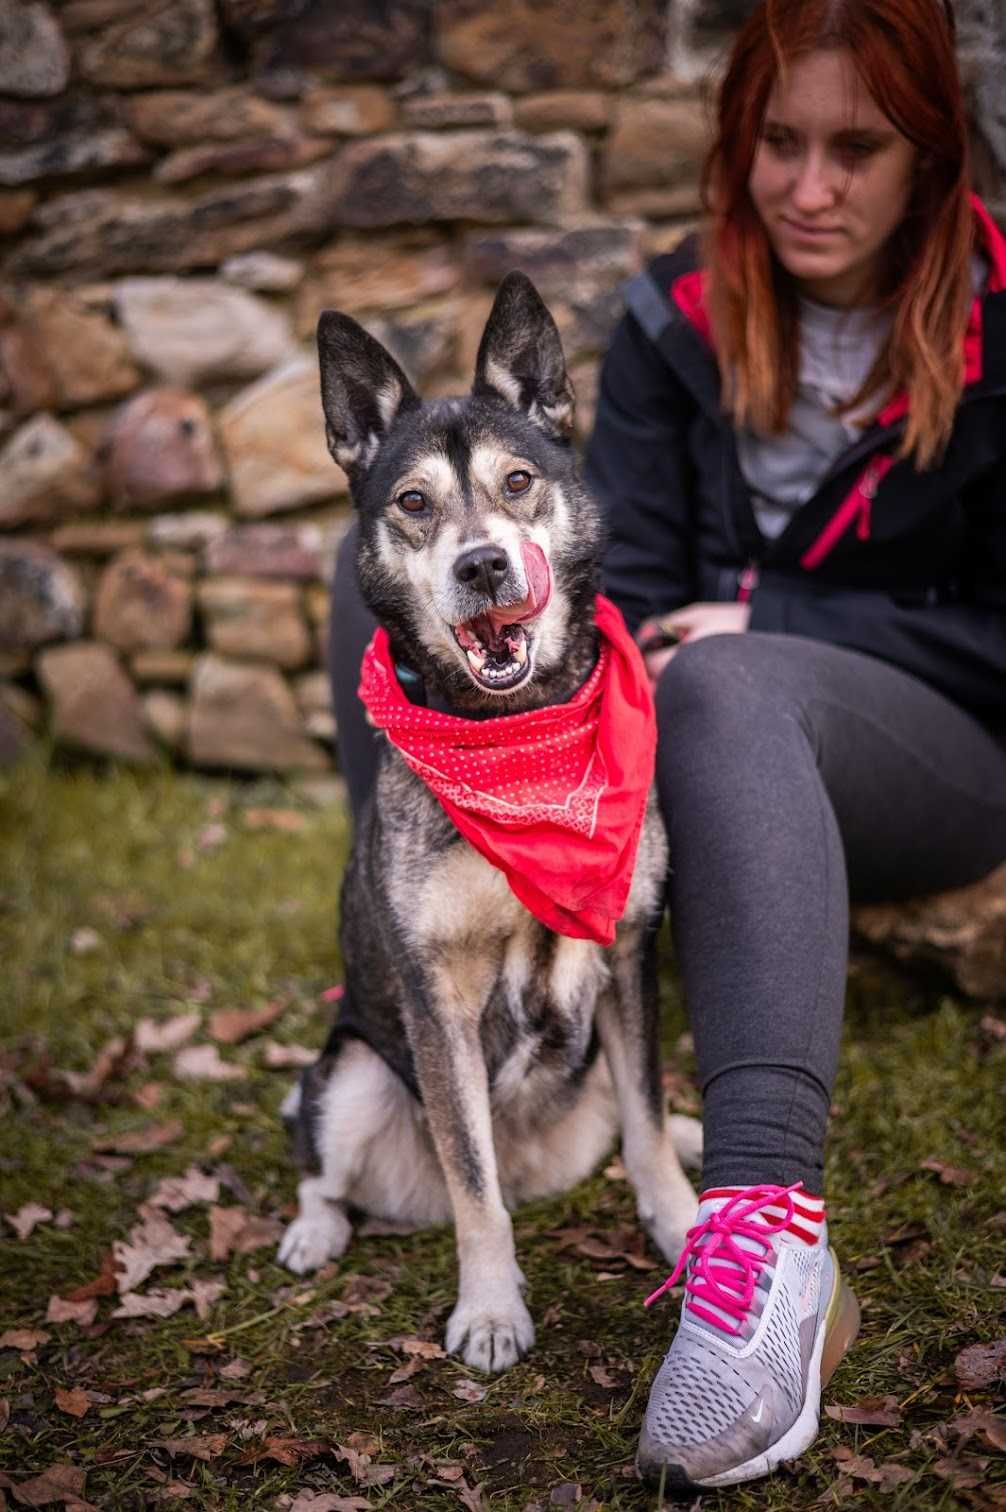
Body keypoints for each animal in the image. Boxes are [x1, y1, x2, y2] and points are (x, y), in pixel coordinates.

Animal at [275, 269, 698, 1372]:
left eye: (517, 483)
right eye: (414, 503)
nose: (481, 567)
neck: (516, 742)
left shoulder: (628, 951)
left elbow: (645, 1116)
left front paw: (686, 1221)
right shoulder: (437, 1000)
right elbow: (473, 1181)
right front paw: (492, 1309)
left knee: (626, 1116)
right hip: (349, 1073)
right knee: (319, 1163)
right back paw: (312, 1232)